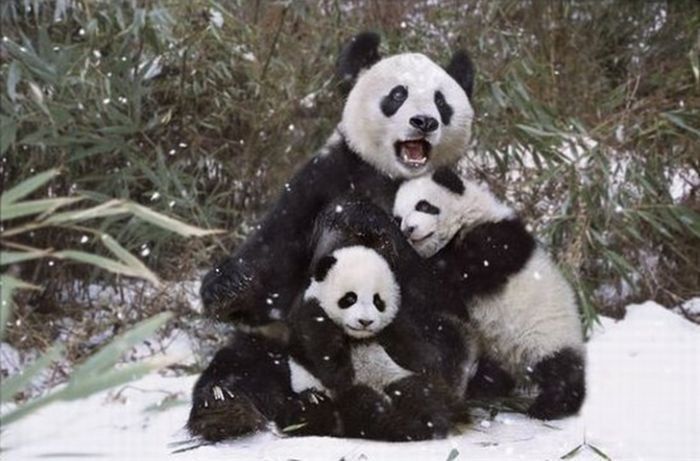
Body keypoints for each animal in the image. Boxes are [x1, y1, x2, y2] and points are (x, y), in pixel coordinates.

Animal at [284, 243, 454, 440]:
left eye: (378, 301)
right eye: (350, 298)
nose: (365, 322)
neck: (358, 337)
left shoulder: (394, 323)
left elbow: (411, 343)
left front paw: (428, 363)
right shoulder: (311, 313)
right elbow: (321, 344)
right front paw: (341, 376)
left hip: (396, 376)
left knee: (418, 393)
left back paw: (427, 423)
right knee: (351, 405)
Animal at [394, 170, 584, 420]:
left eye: (424, 206)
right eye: (398, 218)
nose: (408, 230)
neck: (465, 221)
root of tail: (517, 364)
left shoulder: (497, 239)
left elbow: (467, 270)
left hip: (547, 332)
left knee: (560, 368)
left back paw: (551, 405)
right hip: (493, 350)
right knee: (491, 373)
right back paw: (482, 389)